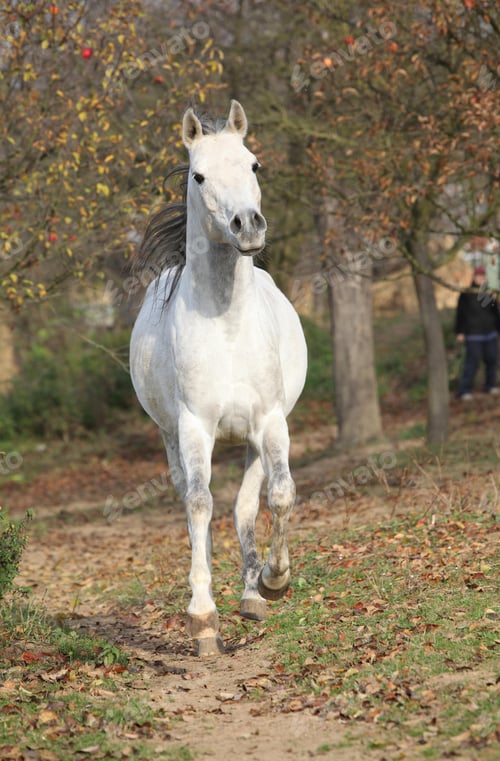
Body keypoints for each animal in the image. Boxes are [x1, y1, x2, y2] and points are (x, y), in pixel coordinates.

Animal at [130, 100, 307, 655]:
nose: (246, 225)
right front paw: (203, 619)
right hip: (174, 440)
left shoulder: (270, 423)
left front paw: (273, 581)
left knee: (245, 505)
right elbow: (199, 505)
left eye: (254, 164)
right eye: (199, 174)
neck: (227, 324)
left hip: (249, 439)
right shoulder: (193, 428)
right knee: (197, 510)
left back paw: (252, 596)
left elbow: (279, 495)